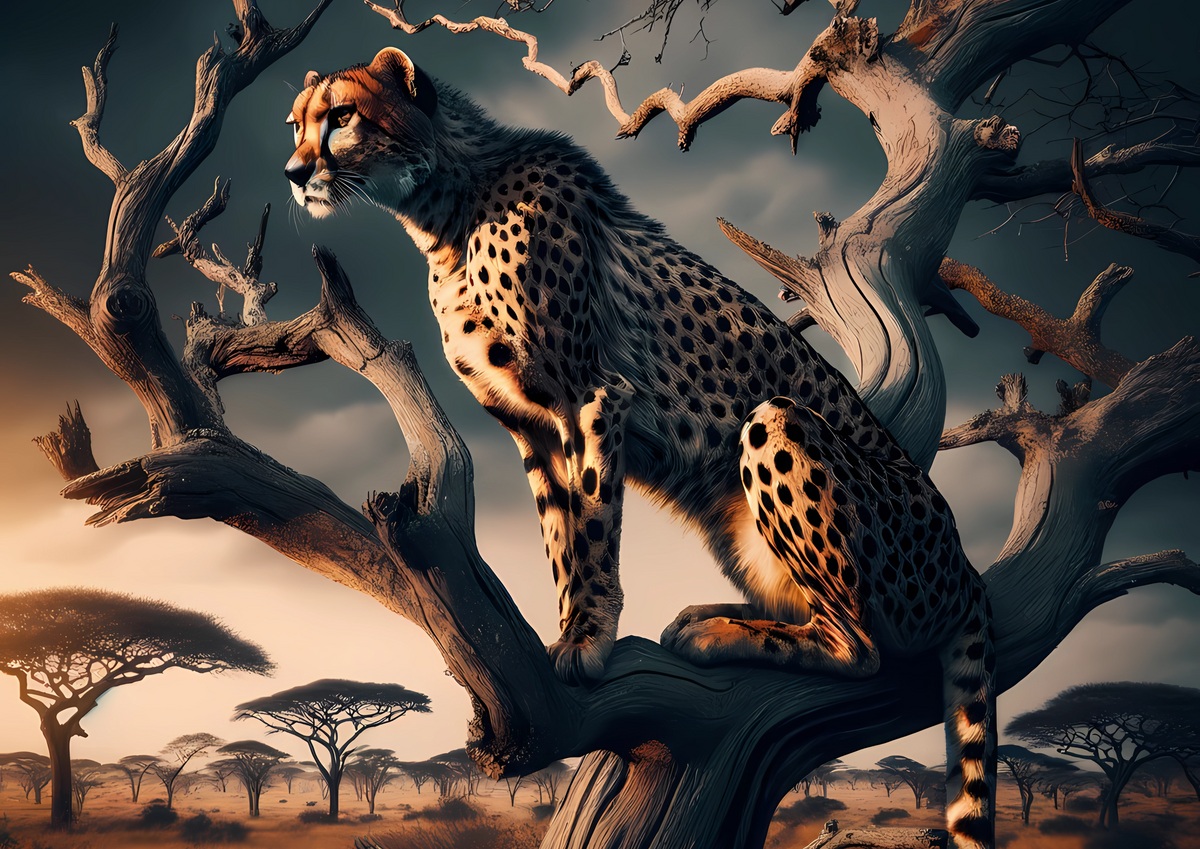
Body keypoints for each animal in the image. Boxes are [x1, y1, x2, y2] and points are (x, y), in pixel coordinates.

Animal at [284, 47, 997, 847]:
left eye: (342, 117)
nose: (293, 171)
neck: (445, 207)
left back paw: (719, 632)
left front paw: (590, 637)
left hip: (778, 425)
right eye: (296, 124)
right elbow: (559, 536)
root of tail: (966, 567)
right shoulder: (531, 424)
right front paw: (569, 627)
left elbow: (594, 525)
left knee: (860, 643)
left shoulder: (594, 395)